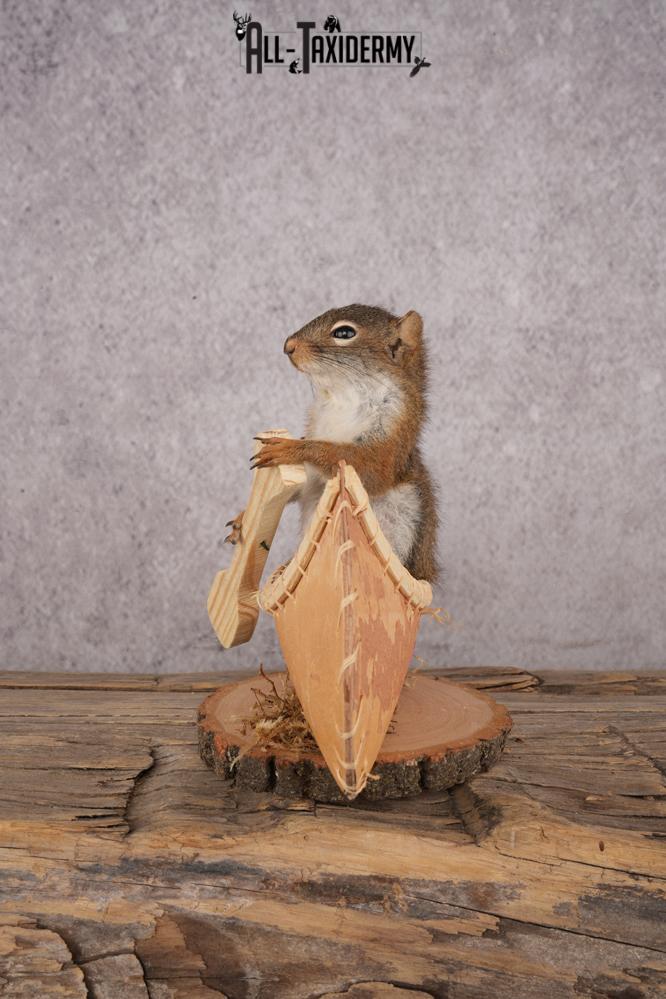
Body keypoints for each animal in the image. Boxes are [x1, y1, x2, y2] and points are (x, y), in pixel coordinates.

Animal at [225, 304, 439, 583]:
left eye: (344, 332)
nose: (288, 346)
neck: (343, 396)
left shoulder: (390, 444)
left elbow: (360, 465)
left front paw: (290, 449)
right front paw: (242, 518)